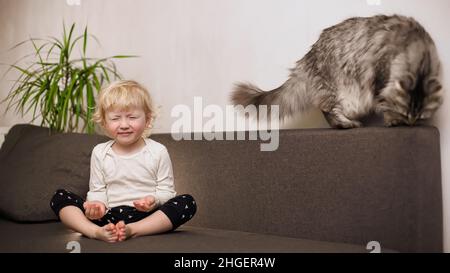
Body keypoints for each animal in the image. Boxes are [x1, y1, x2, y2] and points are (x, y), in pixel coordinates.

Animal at [232, 15, 442, 128]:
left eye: (420, 115)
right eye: (405, 112)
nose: (412, 122)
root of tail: (307, 58)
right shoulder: (380, 77)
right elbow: (385, 104)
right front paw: (393, 120)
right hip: (337, 90)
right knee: (328, 109)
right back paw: (345, 124)